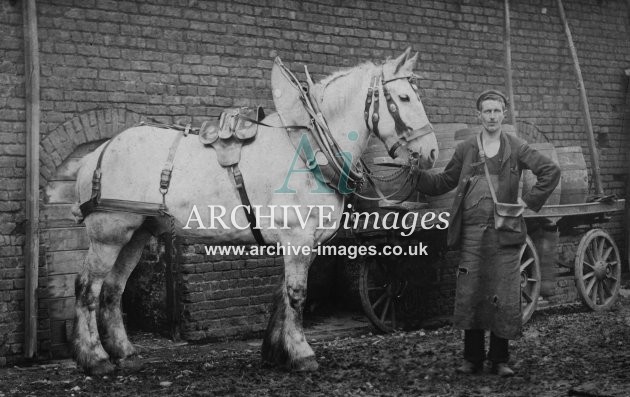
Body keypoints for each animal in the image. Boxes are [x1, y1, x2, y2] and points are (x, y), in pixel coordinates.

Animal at [71, 47, 436, 374]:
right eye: (404, 98)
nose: (431, 152)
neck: (309, 149)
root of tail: (99, 152)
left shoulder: (302, 242)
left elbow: (282, 296)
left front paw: (276, 352)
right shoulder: (297, 237)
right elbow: (297, 295)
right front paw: (301, 354)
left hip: (136, 232)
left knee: (112, 290)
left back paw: (125, 353)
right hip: (109, 234)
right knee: (88, 288)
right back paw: (95, 359)